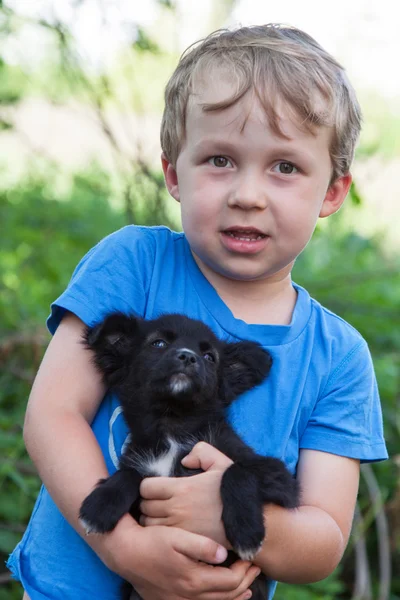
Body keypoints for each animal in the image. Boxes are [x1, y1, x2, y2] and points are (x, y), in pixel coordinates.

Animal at [79, 314, 300, 600]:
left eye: (209, 357)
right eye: (158, 343)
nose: (187, 357)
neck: (174, 426)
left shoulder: (280, 479)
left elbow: (237, 470)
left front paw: (247, 531)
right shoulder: (145, 481)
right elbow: (131, 474)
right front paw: (101, 505)